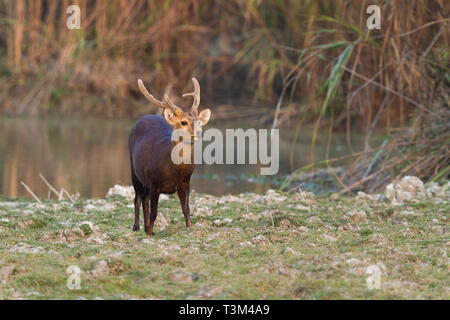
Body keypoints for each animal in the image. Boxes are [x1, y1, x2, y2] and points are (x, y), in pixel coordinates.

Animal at [127, 77, 210, 236]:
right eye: (183, 122)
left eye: (199, 121)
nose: (199, 133)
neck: (173, 170)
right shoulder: (154, 181)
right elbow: (154, 212)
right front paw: (150, 233)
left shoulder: (185, 182)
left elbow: (186, 208)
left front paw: (189, 227)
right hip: (134, 170)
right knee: (137, 198)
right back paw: (137, 227)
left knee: (144, 199)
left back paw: (145, 228)